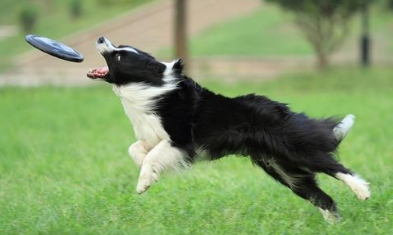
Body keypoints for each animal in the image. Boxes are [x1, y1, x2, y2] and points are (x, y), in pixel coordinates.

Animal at [87, 36, 370, 222]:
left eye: (119, 55)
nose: (100, 37)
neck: (148, 88)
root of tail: (281, 108)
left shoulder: (180, 141)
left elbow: (153, 155)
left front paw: (144, 182)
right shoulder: (153, 136)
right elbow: (136, 149)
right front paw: (146, 171)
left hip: (294, 149)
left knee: (335, 167)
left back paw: (362, 191)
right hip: (283, 169)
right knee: (321, 196)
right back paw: (333, 224)